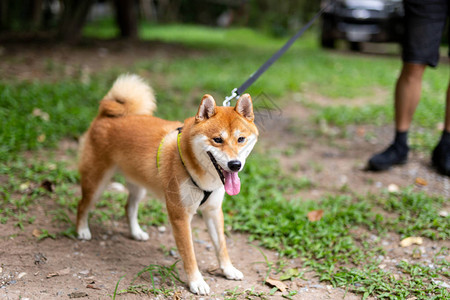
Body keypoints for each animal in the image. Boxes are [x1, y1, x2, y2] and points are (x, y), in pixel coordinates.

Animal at [77, 74, 258, 294]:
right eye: (217, 139)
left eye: (241, 139)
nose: (235, 165)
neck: (199, 170)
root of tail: (105, 115)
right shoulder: (180, 216)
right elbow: (189, 254)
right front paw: (196, 282)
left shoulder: (213, 210)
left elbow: (221, 246)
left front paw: (228, 269)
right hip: (96, 182)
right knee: (82, 205)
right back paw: (82, 231)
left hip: (138, 185)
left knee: (129, 207)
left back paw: (136, 232)